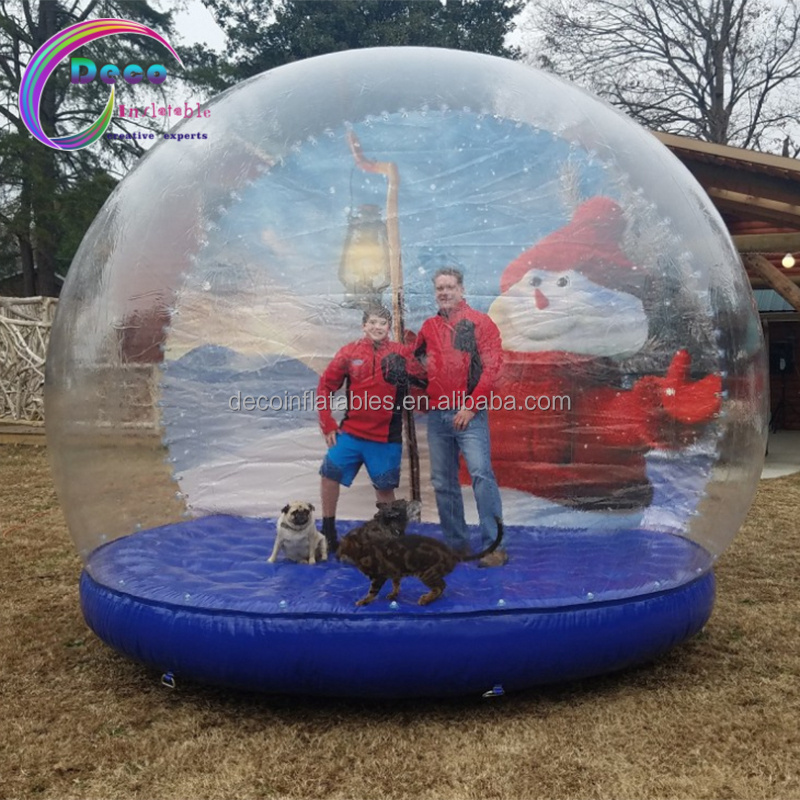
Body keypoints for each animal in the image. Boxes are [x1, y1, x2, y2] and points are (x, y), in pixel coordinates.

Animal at [340, 520, 504, 608]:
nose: (338, 554)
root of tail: (452, 553)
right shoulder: (395, 571)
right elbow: (396, 583)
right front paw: (394, 593)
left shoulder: (378, 576)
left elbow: (372, 592)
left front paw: (363, 601)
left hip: (426, 573)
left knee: (441, 586)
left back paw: (426, 599)